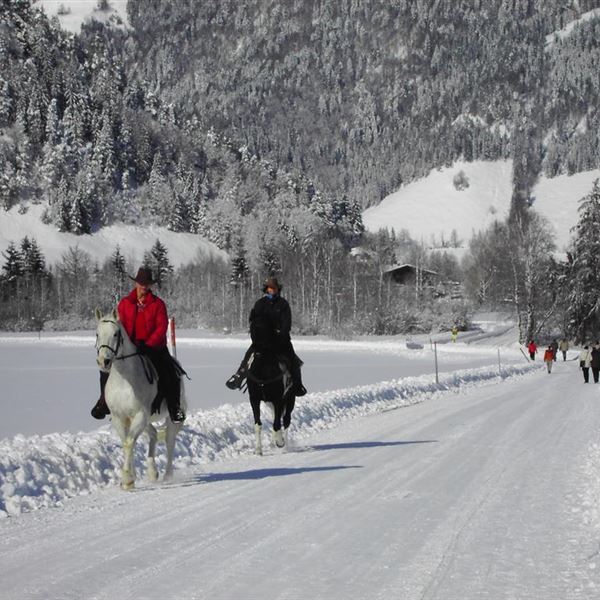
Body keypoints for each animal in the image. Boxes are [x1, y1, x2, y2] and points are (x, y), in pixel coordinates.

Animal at [94, 310, 185, 488]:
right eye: (97, 334)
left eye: (115, 334)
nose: (104, 361)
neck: (124, 381)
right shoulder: (119, 417)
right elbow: (126, 442)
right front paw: (132, 475)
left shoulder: (140, 415)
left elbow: (129, 442)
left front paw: (128, 480)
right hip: (145, 420)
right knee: (154, 434)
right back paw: (152, 471)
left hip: (170, 417)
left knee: (169, 441)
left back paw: (167, 475)